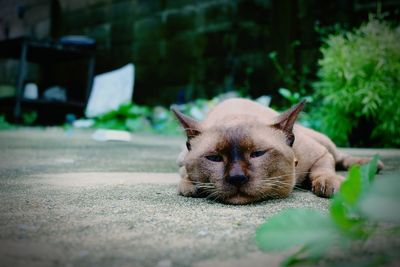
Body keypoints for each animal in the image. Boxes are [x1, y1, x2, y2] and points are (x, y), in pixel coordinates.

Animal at [172, 98, 384, 205]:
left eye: (257, 154)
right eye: (214, 158)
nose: (237, 177)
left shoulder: (321, 154)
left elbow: (322, 171)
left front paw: (330, 185)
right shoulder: (182, 162)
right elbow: (184, 177)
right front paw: (192, 186)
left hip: (326, 142)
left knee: (342, 157)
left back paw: (370, 164)